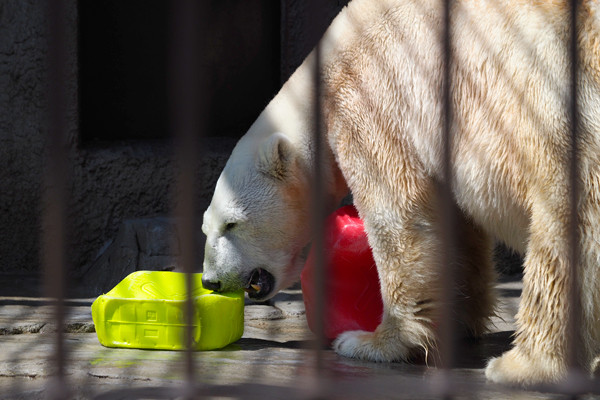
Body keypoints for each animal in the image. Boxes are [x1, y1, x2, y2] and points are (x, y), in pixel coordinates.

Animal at [203, 0, 600, 386]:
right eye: (208, 226)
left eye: (233, 223)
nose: (211, 280)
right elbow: (457, 229)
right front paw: (457, 318)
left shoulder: (377, 98)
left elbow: (398, 219)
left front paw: (374, 343)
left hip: (556, 108)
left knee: (567, 230)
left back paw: (523, 365)